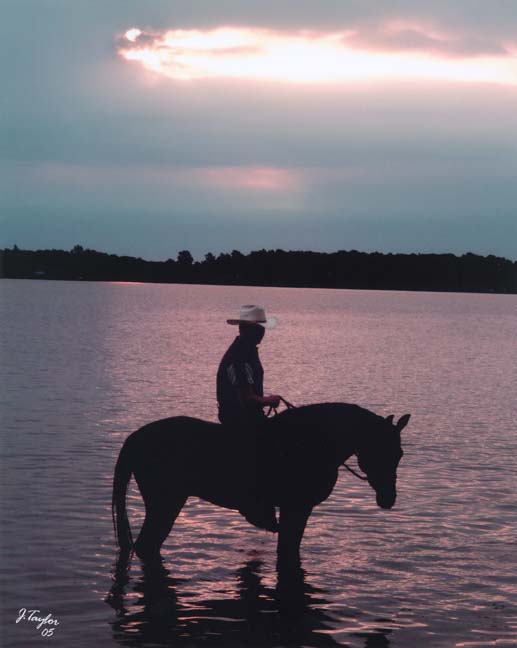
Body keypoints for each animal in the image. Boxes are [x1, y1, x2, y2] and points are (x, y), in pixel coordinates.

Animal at [111, 402, 410, 568]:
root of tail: (135, 438)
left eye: (399, 454)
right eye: (380, 450)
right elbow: (288, 551)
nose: (388, 498)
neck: (314, 442)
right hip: (165, 504)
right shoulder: (296, 508)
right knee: (147, 546)